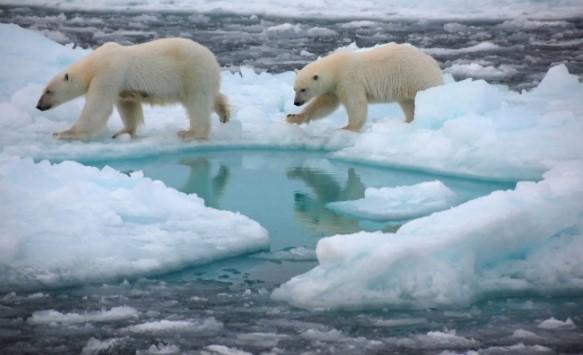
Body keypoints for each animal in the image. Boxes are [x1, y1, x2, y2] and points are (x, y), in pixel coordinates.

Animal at [36, 38, 230, 140]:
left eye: (48, 91)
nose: (38, 106)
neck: (95, 63)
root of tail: (212, 58)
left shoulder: (108, 72)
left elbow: (97, 108)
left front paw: (64, 133)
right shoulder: (120, 84)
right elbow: (127, 105)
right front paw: (123, 132)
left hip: (193, 72)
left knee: (197, 103)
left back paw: (190, 132)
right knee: (211, 96)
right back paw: (224, 113)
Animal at [288, 44, 442, 131]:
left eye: (303, 89)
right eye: (295, 89)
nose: (296, 103)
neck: (336, 68)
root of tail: (434, 64)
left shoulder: (349, 80)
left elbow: (356, 104)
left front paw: (347, 127)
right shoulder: (333, 88)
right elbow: (324, 105)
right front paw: (293, 117)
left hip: (418, 78)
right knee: (408, 103)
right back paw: (408, 121)